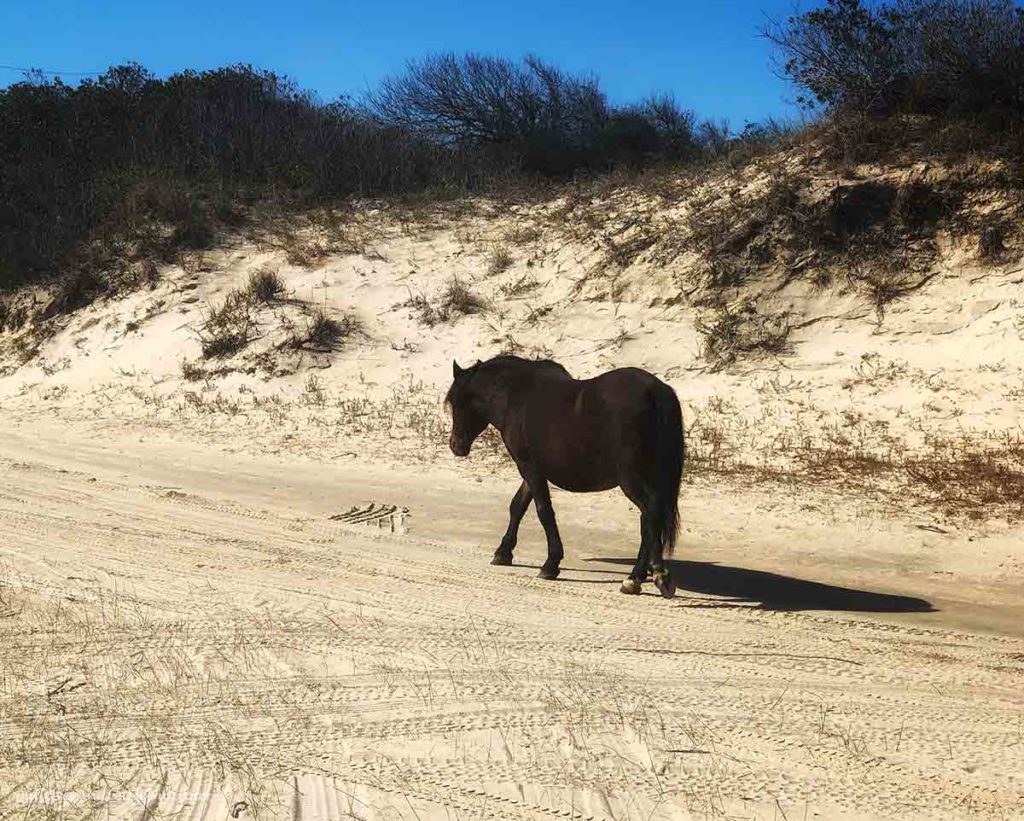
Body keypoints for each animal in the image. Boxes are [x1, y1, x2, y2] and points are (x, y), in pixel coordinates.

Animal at [444, 352, 684, 593]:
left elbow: (544, 511)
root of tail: (655, 392)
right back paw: (638, 576)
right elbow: (518, 506)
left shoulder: (529, 467)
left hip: (632, 479)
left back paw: (651, 575)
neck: (515, 396)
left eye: (456, 401)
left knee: (651, 514)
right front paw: (503, 552)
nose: (456, 446)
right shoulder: (534, 469)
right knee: (649, 520)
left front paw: (551, 563)